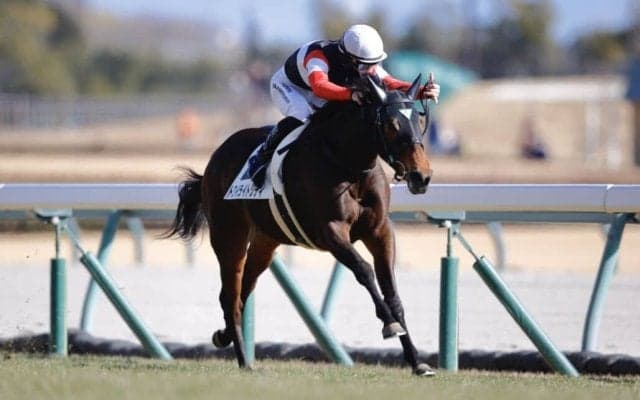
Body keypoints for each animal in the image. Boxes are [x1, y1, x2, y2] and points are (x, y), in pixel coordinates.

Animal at [166, 74, 434, 375]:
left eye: (420, 119)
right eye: (391, 124)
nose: (421, 176)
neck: (346, 161)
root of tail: (213, 160)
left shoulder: (379, 231)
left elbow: (393, 293)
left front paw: (416, 361)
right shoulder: (331, 231)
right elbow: (364, 271)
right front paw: (390, 325)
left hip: (265, 240)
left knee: (244, 289)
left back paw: (223, 336)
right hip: (228, 235)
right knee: (230, 295)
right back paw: (244, 361)